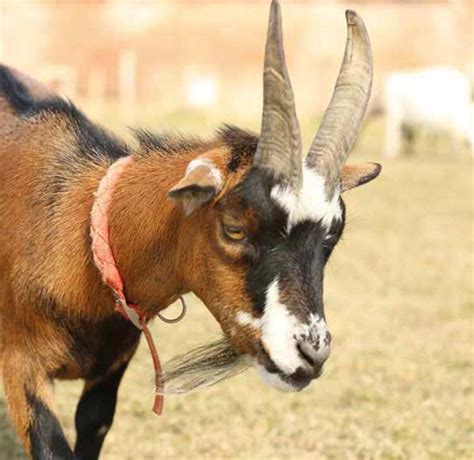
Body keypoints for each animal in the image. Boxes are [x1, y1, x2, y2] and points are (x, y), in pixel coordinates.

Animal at [0, 1, 380, 458]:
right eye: (234, 228)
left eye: (332, 235)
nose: (311, 353)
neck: (77, 222)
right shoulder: (22, 363)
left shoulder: (109, 369)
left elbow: (92, 424)